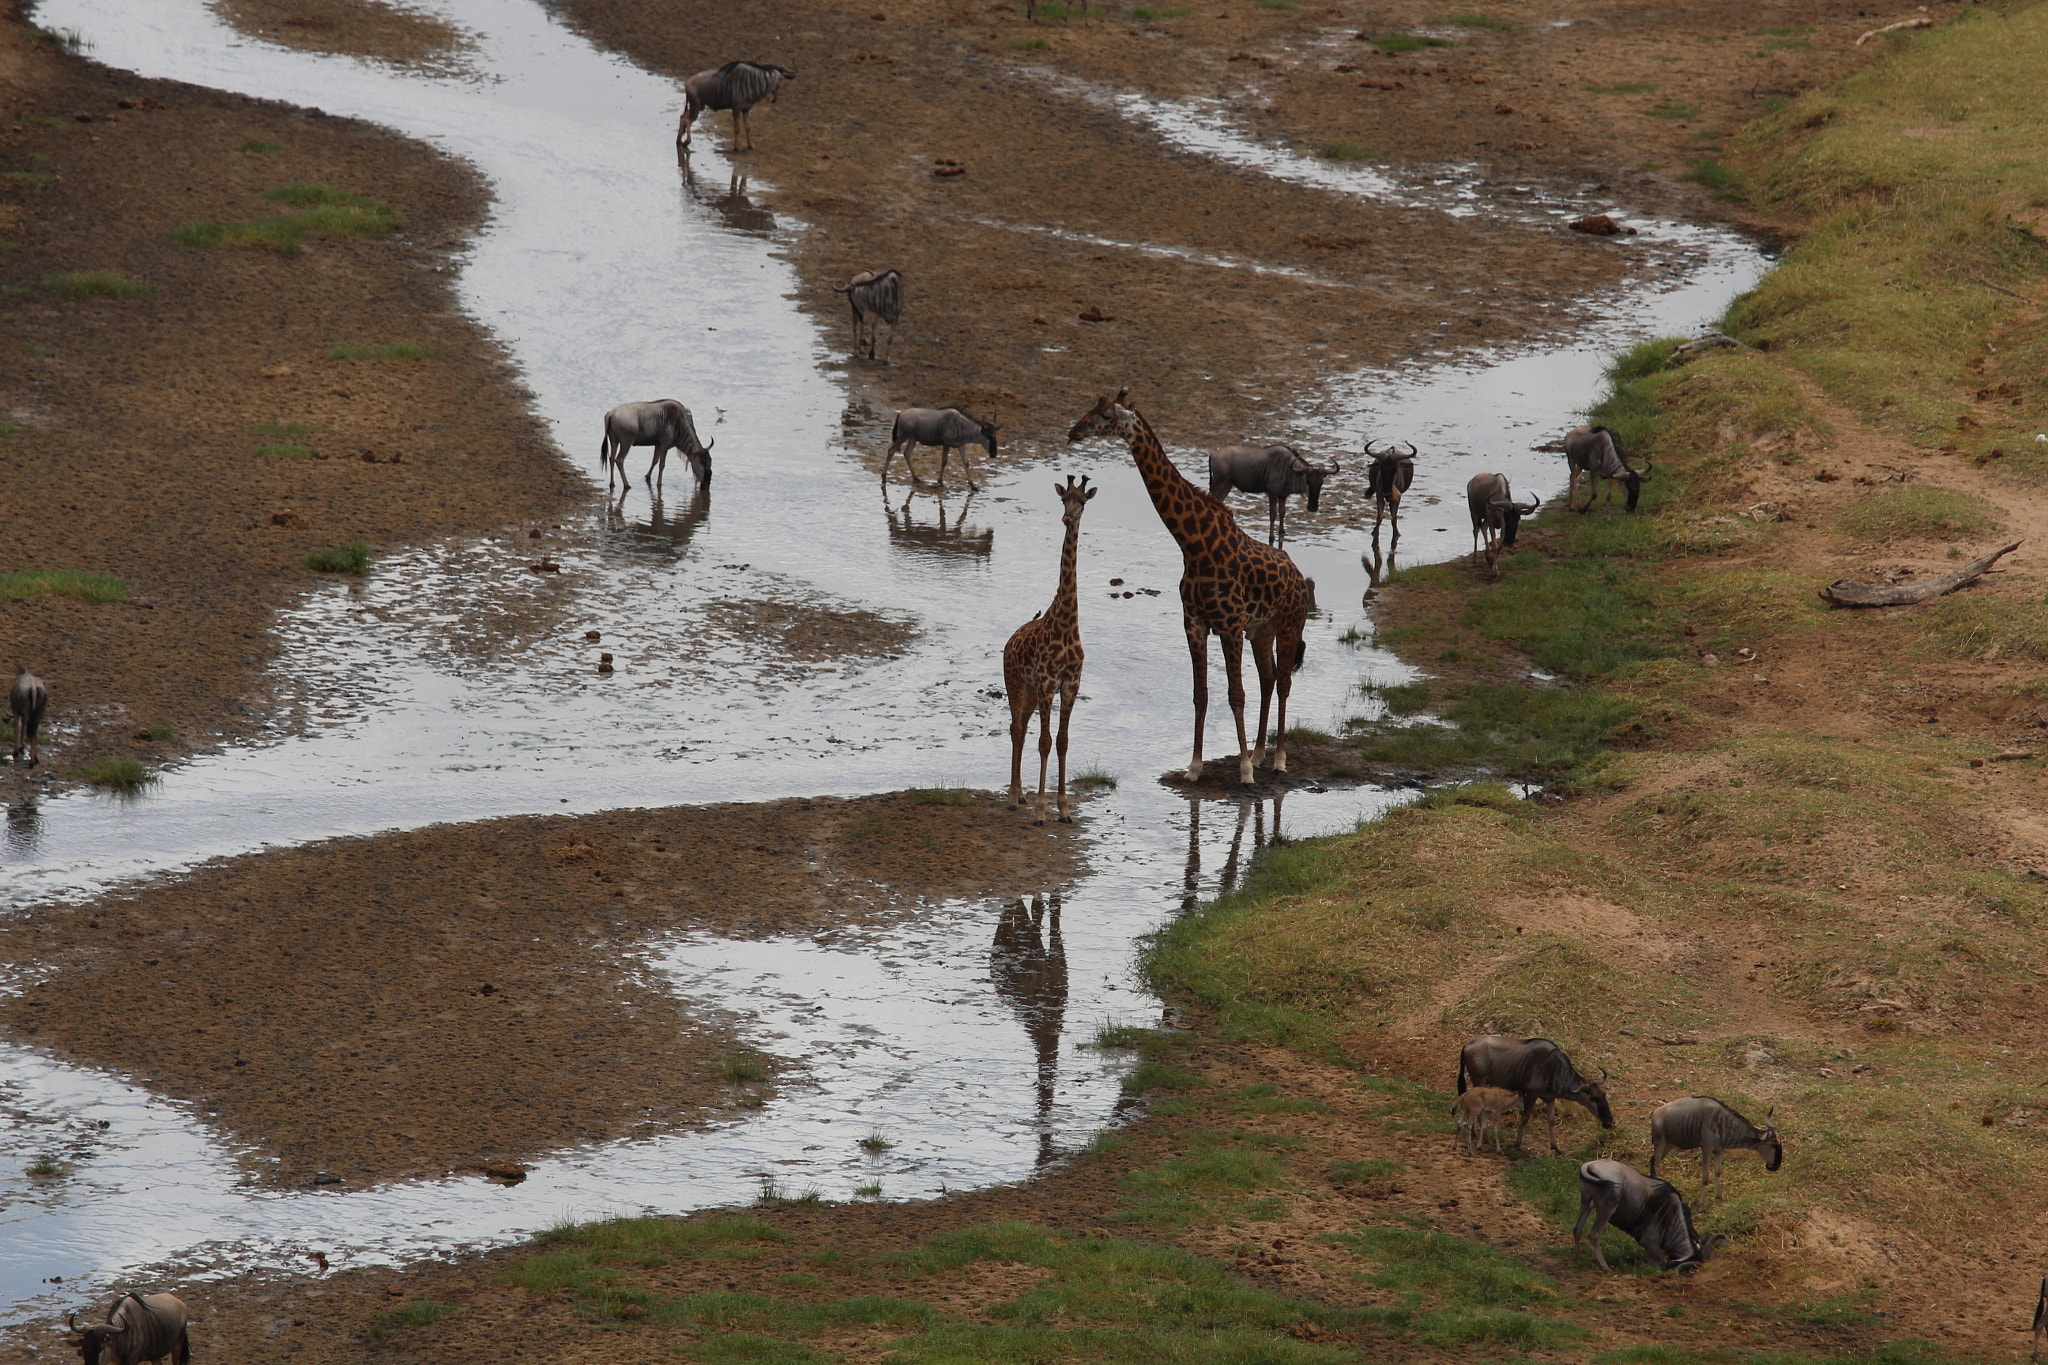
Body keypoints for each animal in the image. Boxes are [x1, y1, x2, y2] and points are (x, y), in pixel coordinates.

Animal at [999, 474, 1097, 826]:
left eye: (1082, 501)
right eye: (1063, 499)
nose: (1067, 518)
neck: (1066, 625)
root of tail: (1010, 640)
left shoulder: (1070, 684)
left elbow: (1063, 742)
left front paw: (1064, 808)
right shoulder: (1047, 682)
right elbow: (1045, 742)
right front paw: (1042, 811)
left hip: (1028, 689)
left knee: (1022, 729)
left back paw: (1020, 795)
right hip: (1015, 682)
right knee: (1016, 728)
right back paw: (1014, 798)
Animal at [1073, 388, 1310, 785]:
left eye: (1106, 415)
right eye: (1091, 407)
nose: (1074, 431)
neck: (1194, 545)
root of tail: (1298, 574)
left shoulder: (1229, 625)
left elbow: (1235, 694)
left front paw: (1244, 771)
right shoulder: (1194, 623)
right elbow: (1201, 694)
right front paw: (1195, 766)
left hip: (1291, 623)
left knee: (1283, 682)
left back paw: (1277, 760)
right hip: (1262, 629)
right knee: (1268, 678)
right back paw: (1261, 753)